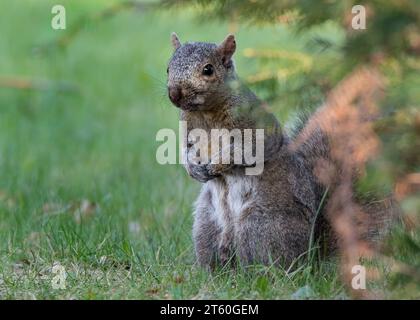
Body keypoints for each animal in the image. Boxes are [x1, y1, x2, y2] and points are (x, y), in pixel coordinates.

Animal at [166, 32, 396, 268]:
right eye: (168, 68)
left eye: (208, 69)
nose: (174, 94)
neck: (205, 113)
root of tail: (309, 255)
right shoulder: (188, 132)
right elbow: (184, 151)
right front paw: (193, 169)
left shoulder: (256, 126)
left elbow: (247, 149)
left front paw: (217, 164)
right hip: (207, 224)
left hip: (259, 225)